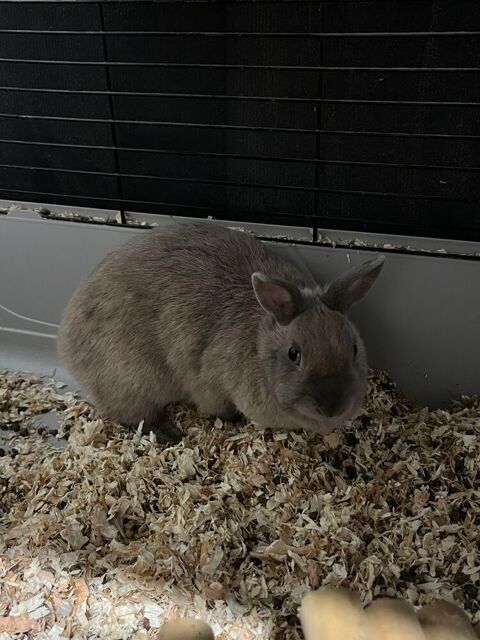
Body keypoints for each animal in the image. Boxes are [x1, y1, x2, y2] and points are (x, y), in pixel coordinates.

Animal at [58, 221, 384, 443]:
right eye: (294, 354)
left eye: (354, 349)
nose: (332, 407)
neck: (258, 342)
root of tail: (66, 345)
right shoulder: (211, 384)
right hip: (131, 381)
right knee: (131, 415)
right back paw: (169, 434)